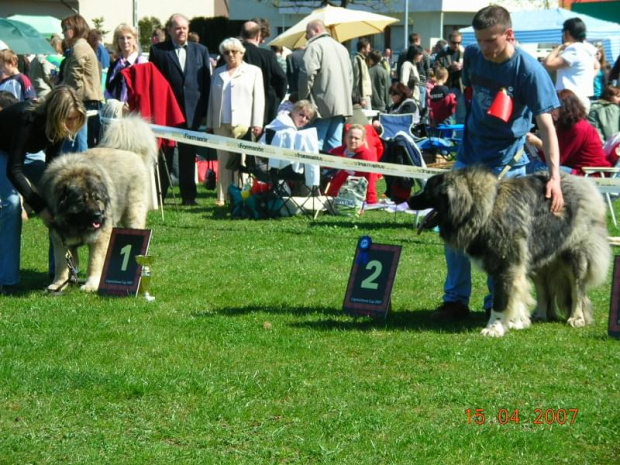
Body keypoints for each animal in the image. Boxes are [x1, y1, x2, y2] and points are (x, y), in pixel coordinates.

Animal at [406, 167, 612, 338]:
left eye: (427, 191)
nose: (408, 199)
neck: (484, 210)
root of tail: (583, 183)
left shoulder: (506, 266)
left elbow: (501, 300)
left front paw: (494, 328)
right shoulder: (512, 265)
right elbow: (516, 294)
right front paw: (517, 321)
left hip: (574, 256)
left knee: (578, 290)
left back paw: (577, 318)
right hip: (539, 258)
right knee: (544, 289)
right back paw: (541, 314)